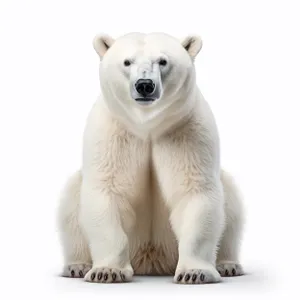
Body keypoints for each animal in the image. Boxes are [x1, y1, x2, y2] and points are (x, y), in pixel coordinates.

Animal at [57, 31, 245, 284]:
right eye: (127, 62)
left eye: (163, 61)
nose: (145, 85)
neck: (147, 126)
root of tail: (152, 262)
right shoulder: (114, 132)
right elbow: (108, 191)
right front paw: (107, 271)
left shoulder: (185, 131)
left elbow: (194, 192)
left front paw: (195, 272)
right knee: (70, 204)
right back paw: (77, 266)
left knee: (232, 205)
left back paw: (228, 265)